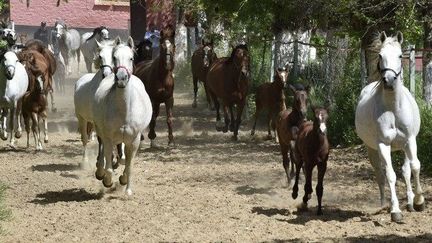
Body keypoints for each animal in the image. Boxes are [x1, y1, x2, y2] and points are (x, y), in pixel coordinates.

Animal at [74, 39, 115, 169]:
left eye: (113, 56)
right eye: (100, 56)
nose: (106, 74)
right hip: (81, 118)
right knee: (84, 138)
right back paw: (84, 161)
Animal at [91, 36, 152, 196]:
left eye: (131, 58)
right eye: (115, 57)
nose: (121, 78)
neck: (124, 111)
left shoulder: (134, 140)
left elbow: (129, 165)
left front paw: (127, 187)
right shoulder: (108, 137)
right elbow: (108, 167)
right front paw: (107, 180)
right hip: (101, 132)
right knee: (103, 153)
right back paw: (100, 171)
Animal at [354, 31, 426, 222]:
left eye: (400, 55)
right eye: (380, 55)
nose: (388, 80)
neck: (393, 109)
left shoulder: (410, 141)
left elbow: (415, 167)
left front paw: (419, 202)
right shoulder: (383, 144)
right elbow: (390, 175)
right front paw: (395, 211)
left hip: (404, 146)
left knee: (406, 171)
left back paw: (410, 203)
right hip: (372, 148)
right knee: (380, 173)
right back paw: (383, 205)